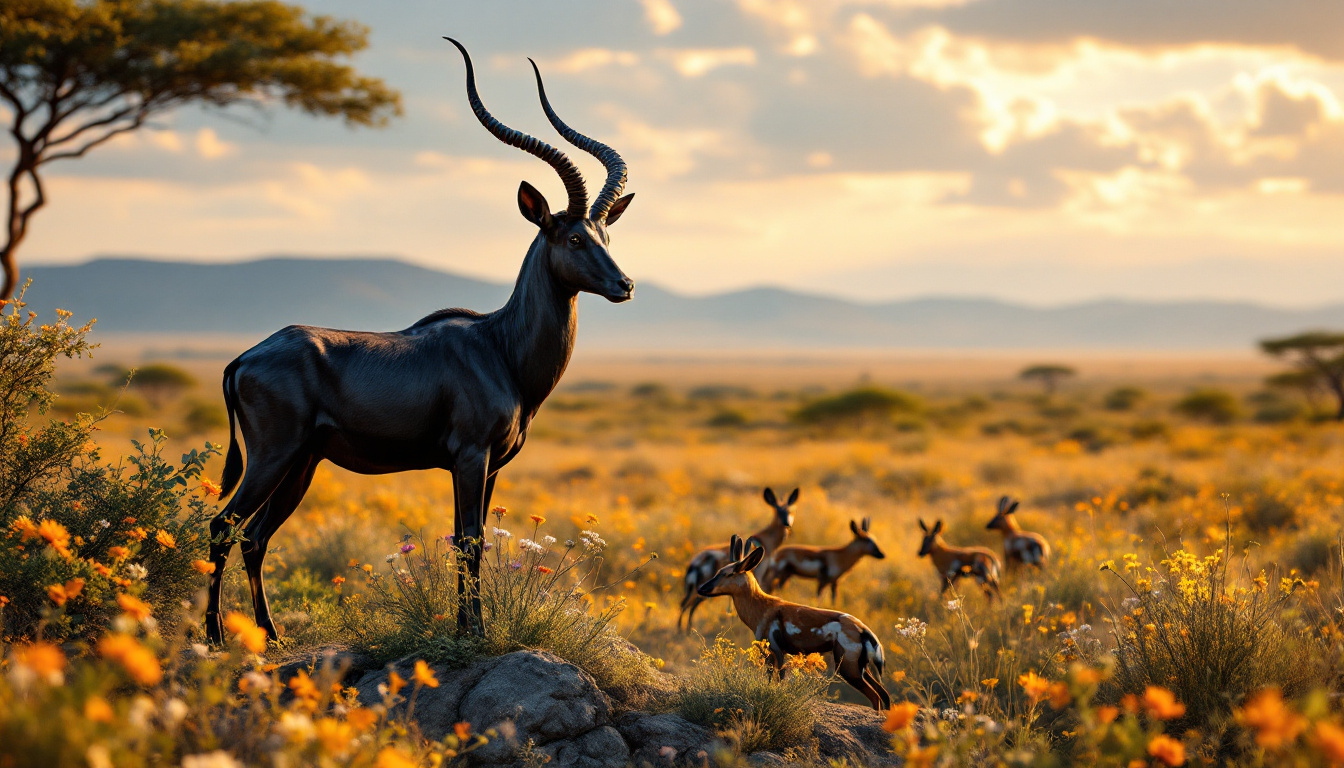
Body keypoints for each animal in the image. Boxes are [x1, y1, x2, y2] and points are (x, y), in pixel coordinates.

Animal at [201, 39, 637, 645]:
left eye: (606, 234)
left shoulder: (489, 467)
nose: (625, 285)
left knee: (256, 535)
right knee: (224, 525)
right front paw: (475, 633)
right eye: (573, 237)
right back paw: (217, 637)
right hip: (274, 455)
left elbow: (467, 542)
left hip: (303, 463)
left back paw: (272, 635)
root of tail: (244, 357)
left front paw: (465, 629)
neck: (500, 348)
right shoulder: (470, 457)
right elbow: (471, 543)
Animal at [682, 489, 795, 634]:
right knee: (690, 606)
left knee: (684, 605)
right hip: (702, 589)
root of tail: (694, 563)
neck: (766, 540)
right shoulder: (758, 574)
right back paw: (687, 630)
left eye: (790, 511)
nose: (787, 524)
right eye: (779, 512)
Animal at [698, 535, 887, 710]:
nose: (701, 588)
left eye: (727, 574)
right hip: (861, 669)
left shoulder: (775, 653)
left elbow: (773, 683)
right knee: (884, 695)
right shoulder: (779, 655)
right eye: (717, 572)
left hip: (848, 669)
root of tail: (864, 630)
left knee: (876, 697)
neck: (760, 607)